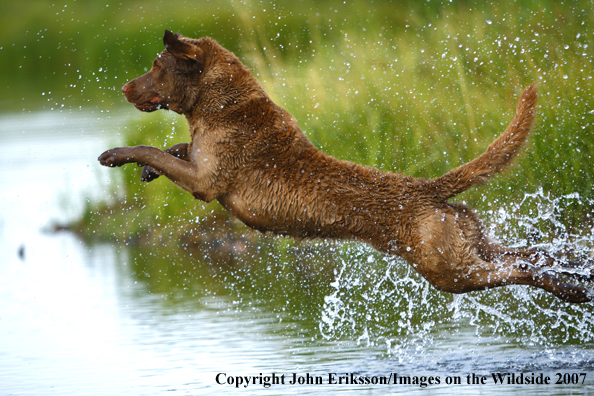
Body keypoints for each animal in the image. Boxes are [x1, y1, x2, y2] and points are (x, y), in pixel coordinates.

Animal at [99, 30, 588, 304]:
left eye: (155, 66)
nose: (123, 87)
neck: (220, 104)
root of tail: (429, 188)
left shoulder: (205, 183)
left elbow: (153, 148)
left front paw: (117, 155)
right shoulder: (199, 160)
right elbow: (176, 147)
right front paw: (148, 170)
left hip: (449, 270)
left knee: (518, 270)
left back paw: (572, 289)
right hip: (468, 245)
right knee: (528, 253)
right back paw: (572, 272)